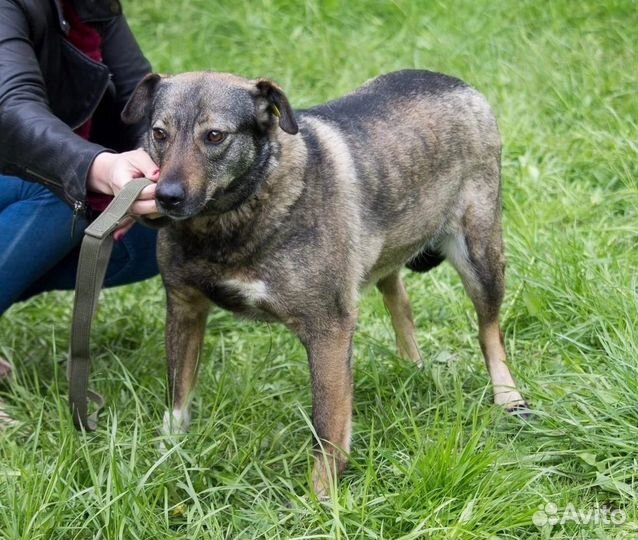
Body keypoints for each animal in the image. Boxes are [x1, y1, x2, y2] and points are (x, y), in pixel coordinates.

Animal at [121, 70, 528, 498]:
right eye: (159, 133)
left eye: (215, 136)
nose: (166, 197)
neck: (230, 220)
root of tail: (452, 80)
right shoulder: (184, 308)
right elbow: (177, 399)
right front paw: (166, 459)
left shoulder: (328, 329)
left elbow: (328, 425)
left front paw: (320, 498)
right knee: (398, 296)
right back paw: (410, 364)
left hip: (480, 256)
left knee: (489, 331)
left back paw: (508, 396)